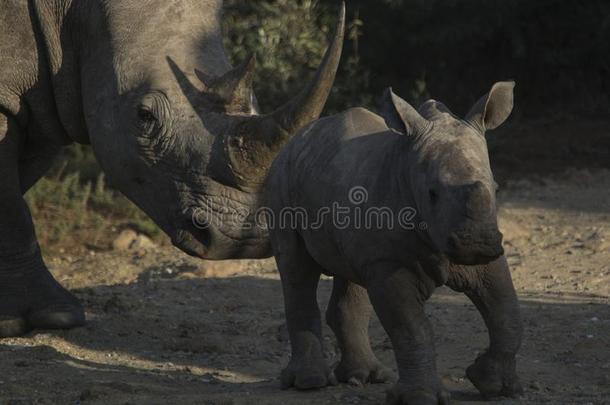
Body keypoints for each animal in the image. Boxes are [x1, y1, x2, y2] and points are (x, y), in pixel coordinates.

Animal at [266, 83, 524, 402]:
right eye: (432, 194)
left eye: (497, 189)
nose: (477, 244)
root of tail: (296, 140)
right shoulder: (389, 262)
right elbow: (412, 328)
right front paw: (421, 398)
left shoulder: (482, 256)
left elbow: (506, 311)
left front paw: (496, 386)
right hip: (280, 178)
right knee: (296, 270)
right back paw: (310, 382)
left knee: (350, 274)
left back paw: (366, 377)